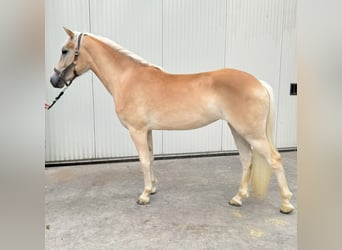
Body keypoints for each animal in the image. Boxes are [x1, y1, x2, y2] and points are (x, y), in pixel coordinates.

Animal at [50, 27, 294, 215]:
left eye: (64, 51)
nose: (54, 80)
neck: (128, 79)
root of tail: (258, 82)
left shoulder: (137, 131)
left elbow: (143, 161)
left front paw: (144, 195)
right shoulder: (147, 131)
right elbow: (151, 158)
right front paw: (152, 188)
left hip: (252, 133)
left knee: (274, 159)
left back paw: (286, 204)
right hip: (238, 130)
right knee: (246, 160)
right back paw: (238, 198)